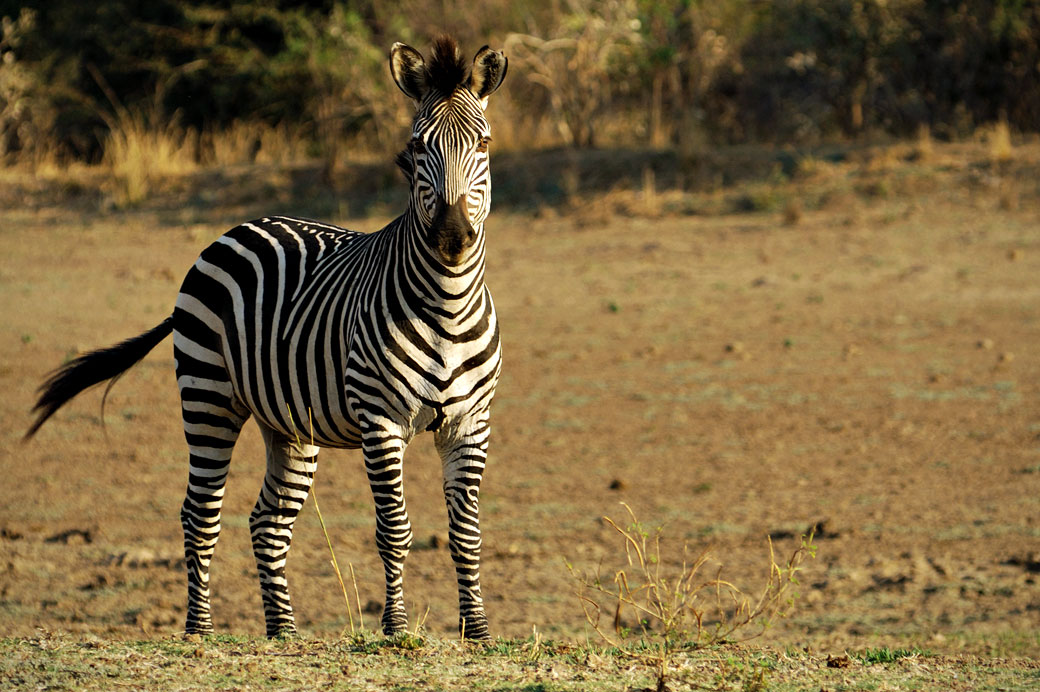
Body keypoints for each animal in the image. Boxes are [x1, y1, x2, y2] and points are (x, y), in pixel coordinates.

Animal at [24, 36, 507, 641]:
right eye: (418, 148)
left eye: (483, 143)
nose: (451, 236)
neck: (447, 302)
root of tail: (239, 228)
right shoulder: (381, 422)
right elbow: (394, 528)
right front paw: (396, 628)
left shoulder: (471, 424)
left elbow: (466, 534)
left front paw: (478, 632)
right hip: (207, 397)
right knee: (200, 513)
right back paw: (200, 629)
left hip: (290, 425)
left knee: (267, 521)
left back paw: (284, 632)